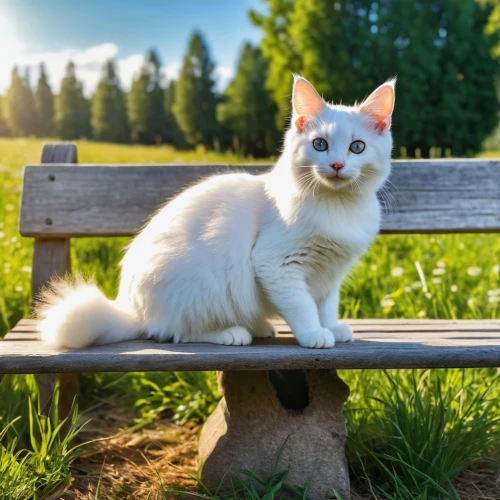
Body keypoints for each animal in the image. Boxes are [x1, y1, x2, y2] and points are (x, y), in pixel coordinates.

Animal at [36, 76, 394, 350]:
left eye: (357, 147)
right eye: (320, 144)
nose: (336, 165)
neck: (338, 206)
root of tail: (133, 309)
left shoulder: (329, 275)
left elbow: (325, 306)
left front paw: (331, 327)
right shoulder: (277, 265)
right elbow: (303, 306)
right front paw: (314, 335)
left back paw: (260, 327)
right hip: (201, 286)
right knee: (178, 333)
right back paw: (233, 333)